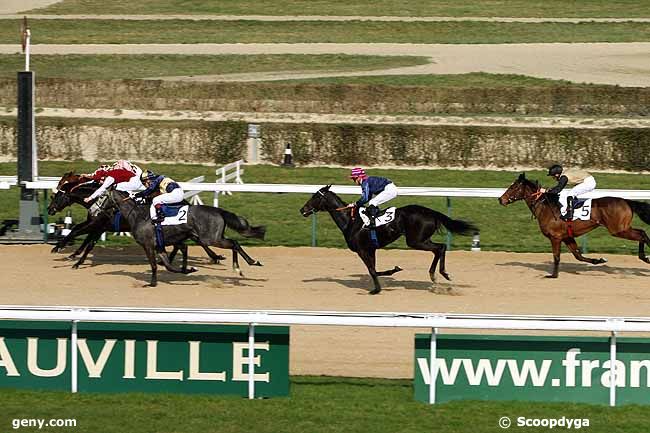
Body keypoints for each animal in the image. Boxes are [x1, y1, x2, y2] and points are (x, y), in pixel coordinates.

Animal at [48, 171, 225, 266]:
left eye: (58, 195)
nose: (50, 209)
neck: (97, 199)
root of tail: (183, 201)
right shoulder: (96, 224)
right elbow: (82, 236)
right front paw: (73, 254)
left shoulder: (99, 224)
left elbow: (80, 235)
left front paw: (60, 249)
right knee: (188, 241)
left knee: (196, 240)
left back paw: (214, 257)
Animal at [298, 186, 476, 294]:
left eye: (315, 197)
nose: (302, 210)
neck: (351, 221)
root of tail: (431, 212)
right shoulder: (371, 249)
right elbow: (374, 270)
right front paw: (392, 271)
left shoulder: (362, 250)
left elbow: (372, 270)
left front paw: (376, 289)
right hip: (420, 239)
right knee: (440, 248)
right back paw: (437, 276)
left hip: (415, 241)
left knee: (440, 248)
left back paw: (440, 274)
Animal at [498, 172, 644, 276]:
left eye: (513, 187)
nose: (500, 199)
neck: (546, 207)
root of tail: (626, 201)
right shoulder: (567, 237)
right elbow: (578, 256)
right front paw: (599, 260)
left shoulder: (555, 237)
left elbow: (556, 256)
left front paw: (553, 275)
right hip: (622, 228)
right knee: (642, 232)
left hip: (618, 230)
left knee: (641, 234)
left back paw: (644, 258)